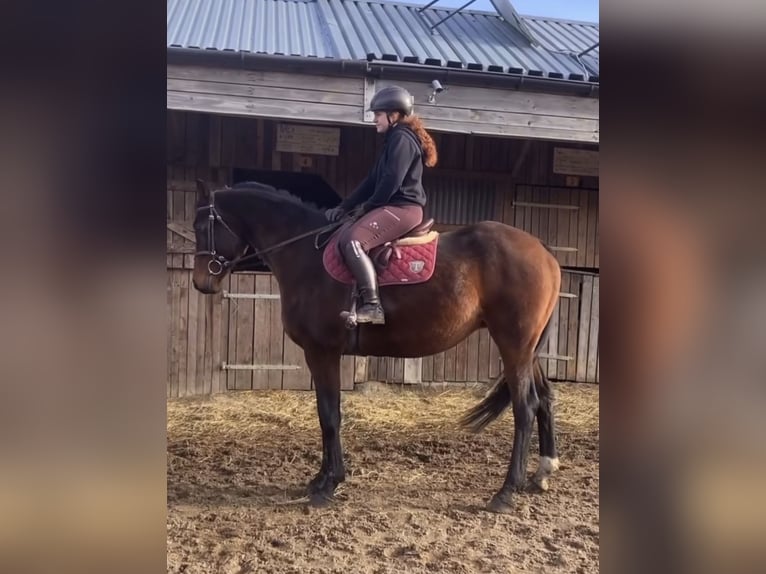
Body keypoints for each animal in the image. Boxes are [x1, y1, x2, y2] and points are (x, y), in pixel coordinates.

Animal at [191, 180, 562, 513]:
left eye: (202, 226)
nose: (200, 282)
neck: (305, 253)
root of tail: (543, 250)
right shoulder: (321, 355)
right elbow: (326, 415)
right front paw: (320, 479)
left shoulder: (321, 352)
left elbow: (330, 416)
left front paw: (328, 485)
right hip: (525, 350)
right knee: (543, 398)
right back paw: (542, 472)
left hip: (513, 345)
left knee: (525, 408)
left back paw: (505, 494)